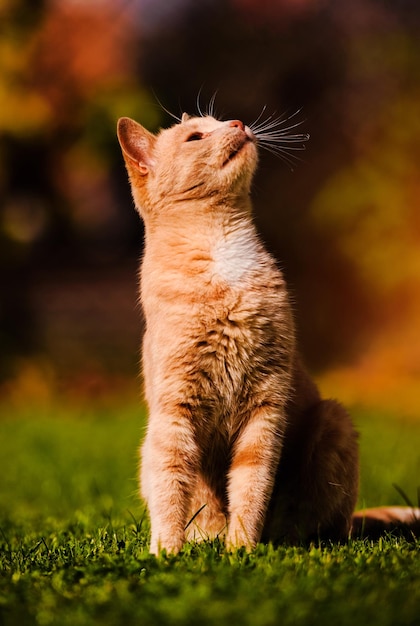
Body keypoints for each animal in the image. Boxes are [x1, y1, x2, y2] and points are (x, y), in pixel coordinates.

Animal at [117, 109, 420, 548]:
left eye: (218, 121)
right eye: (196, 137)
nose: (238, 123)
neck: (222, 251)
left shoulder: (265, 403)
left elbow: (251, 484)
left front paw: (241, 548)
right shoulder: (175, 411)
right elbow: (171, 486)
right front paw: (167, 552)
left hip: (333, 421)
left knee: (320, 530)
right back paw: (204, 541)